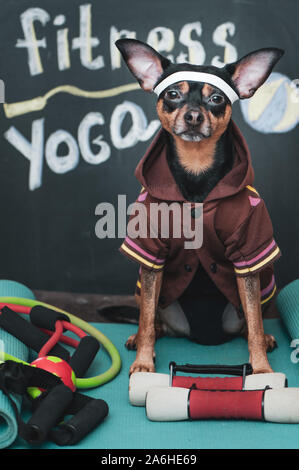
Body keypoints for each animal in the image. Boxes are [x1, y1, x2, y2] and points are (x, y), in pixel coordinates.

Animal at [116, 37, 284, 374]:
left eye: (216, 98)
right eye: (173, 94)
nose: (193, 115)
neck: (196, 170)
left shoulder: (248, 257)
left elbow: (255, 325)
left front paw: (261, 369)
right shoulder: (150, 255)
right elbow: (146, 321)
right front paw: (143, 363)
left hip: (265, 283)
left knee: (250, 322)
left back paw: (267, 338)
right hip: (142, 286)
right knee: (152, 321)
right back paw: (139, 339)